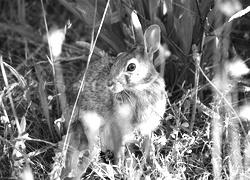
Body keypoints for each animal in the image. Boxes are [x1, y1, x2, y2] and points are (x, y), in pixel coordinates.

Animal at [62, 17, 167, 179]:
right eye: (117, 58)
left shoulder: (147, 129)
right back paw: (107, 169)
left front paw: (158, 168)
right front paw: (121, 169)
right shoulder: (118, 128)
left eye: (131, 67)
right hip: (91, 125)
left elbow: (149, 151)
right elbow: (119, 151)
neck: (141, 88)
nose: (109, 83)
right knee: (91, 153)